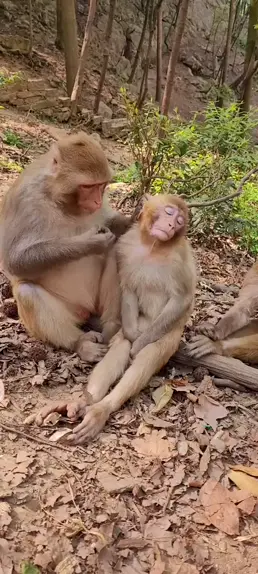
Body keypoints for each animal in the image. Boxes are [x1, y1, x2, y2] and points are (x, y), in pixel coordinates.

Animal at [0, 133, 129, 362]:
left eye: (101, 185)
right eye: (87, 187)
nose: (97, 202)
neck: (59, 199)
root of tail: (85, 310)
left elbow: (111, 223)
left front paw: (133, 219)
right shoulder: (24, 198)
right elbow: (15, 261)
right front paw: (90, 243)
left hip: (96, 305)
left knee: (116, 249)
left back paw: (110, 327)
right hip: (69, 311)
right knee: (27, 292)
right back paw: (81, 344)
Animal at [28, 196, 196, 444]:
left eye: (179, 221)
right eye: (169, 213)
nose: (171, 225)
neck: (153, 247)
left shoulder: (181, 259)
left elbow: (181, 300)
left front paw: (138, 345)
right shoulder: (125, 247)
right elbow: (128, 287)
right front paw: (131, 339)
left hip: (168, 331)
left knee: (151, 352)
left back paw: (102, 408)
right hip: (140, 321)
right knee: (121, 343)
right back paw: (84, 401)